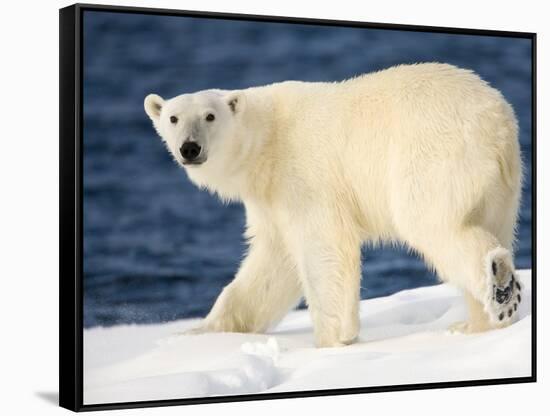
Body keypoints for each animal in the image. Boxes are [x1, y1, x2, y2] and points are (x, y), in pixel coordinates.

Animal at [144, 62, 524, 348]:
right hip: (501, 186)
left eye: (209, 116)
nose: (189, 148)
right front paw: (203, 331)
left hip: (431, 155)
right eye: (173, 118)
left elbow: (323, 245)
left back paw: (499, 288)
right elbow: (271, 263)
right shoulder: (270, 198)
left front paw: (332, 339)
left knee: (431, 222)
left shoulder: (303, 176)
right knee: (492, 223)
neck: (266, 141)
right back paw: (477, 324)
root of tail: (497, 122)